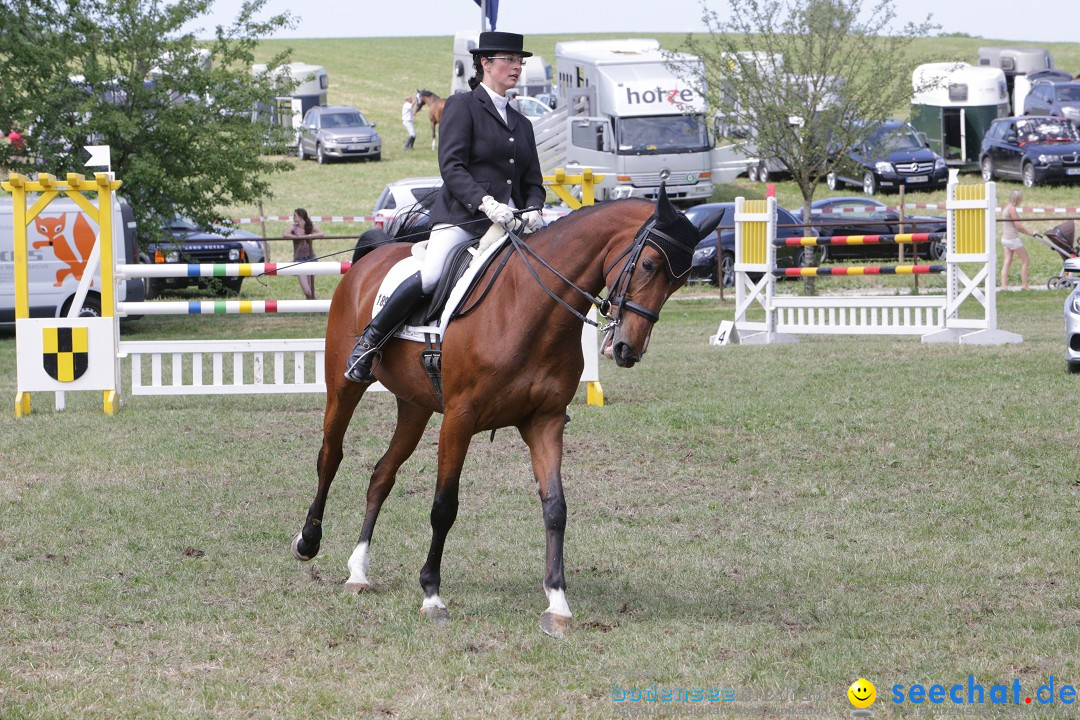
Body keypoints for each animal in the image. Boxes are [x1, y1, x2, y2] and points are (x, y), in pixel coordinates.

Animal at [291, 185, 721, 634]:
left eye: (681, 281)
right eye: (650, 264)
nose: (626, 349)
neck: (530, 307)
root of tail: (369, 261)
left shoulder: (545, 422)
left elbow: (555, 507)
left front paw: (557, 603)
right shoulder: (459, 419)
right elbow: (444, 507)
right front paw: (432, 595)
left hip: (414, 407)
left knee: (381, 474)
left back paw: (359, 570)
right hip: (344, 387)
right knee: (330, 456)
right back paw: (308, 541)